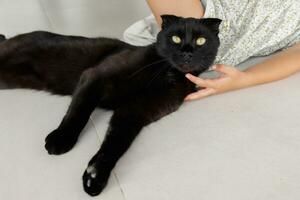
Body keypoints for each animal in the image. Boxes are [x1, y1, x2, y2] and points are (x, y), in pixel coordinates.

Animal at [0, 15, 220, 195]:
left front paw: (95, 175)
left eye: (201, 41)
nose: (187, 53)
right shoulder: (95, 76)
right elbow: (78, 112)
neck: (168, 73)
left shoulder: (136, 111)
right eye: (175, 38)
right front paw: (61, 138)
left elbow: (116, 143)